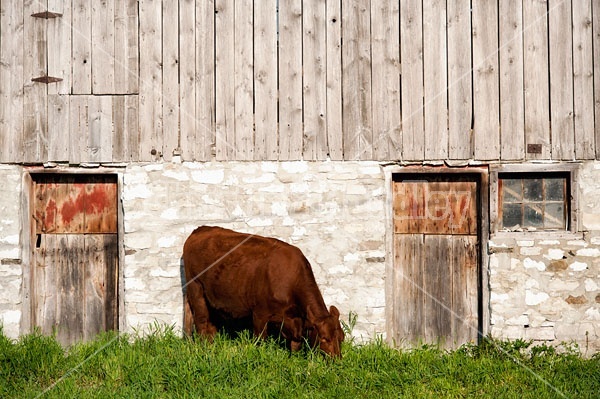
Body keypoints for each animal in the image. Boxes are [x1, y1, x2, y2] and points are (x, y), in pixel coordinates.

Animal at [183, 227, 344, 358]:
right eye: (324, 338)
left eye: (341, 338)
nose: (336, 360)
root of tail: (199, 230)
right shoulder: (259, 314)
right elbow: (260, 341)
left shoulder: (295, 320)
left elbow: (295, 343)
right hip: (196, 287)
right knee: (201, 320)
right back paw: (204, 348)